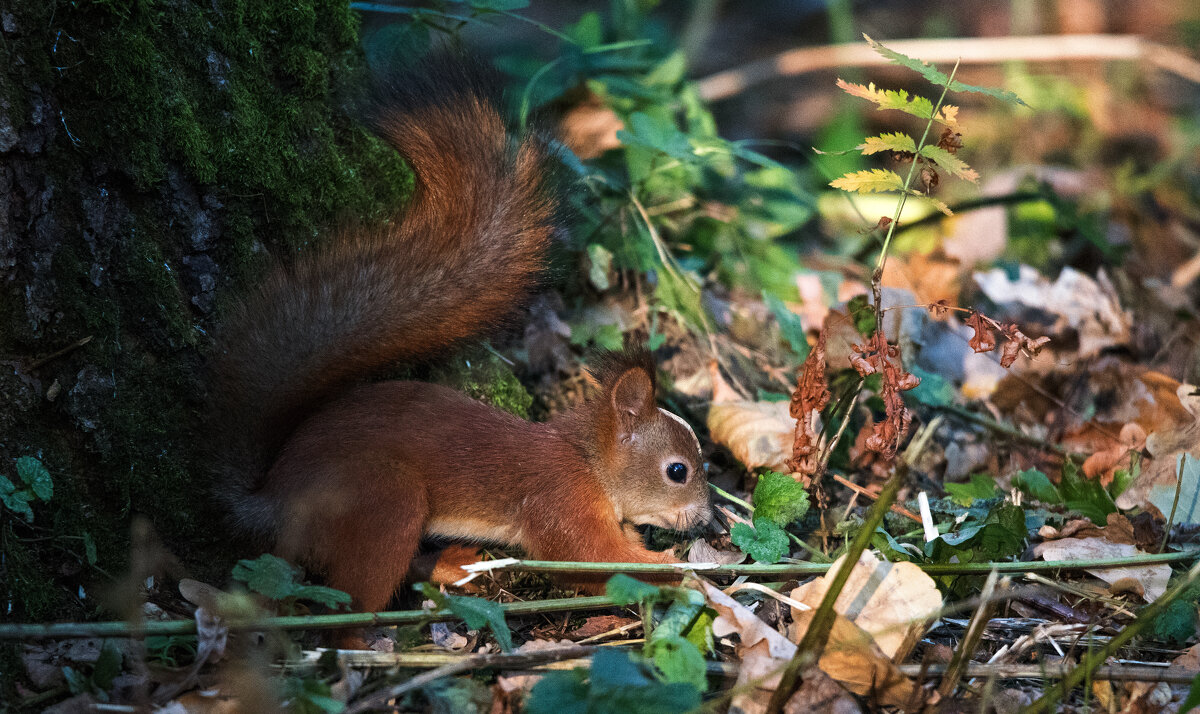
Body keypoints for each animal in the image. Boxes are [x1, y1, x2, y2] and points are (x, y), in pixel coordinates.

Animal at [208, 60, 710, 614]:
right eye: (678, 471)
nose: (707, 518)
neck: (587, 463)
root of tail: (273, 496)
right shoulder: (560, 502)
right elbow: (588, 559)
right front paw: (679, 570)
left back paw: (455, 565)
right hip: (383, 499)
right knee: (353, 598)